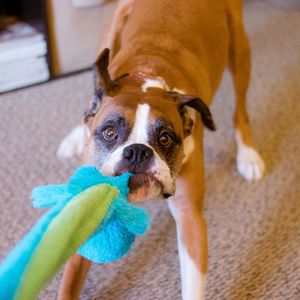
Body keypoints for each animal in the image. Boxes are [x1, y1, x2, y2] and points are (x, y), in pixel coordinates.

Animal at [57, 1, 264, 298]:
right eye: (109, 133)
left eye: (165, 138)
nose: (137, 152)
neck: (146, 81)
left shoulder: (190, 218)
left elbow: (193, 283)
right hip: (108, 34)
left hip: (239, 49)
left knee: (241, 109)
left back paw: (247, 154)